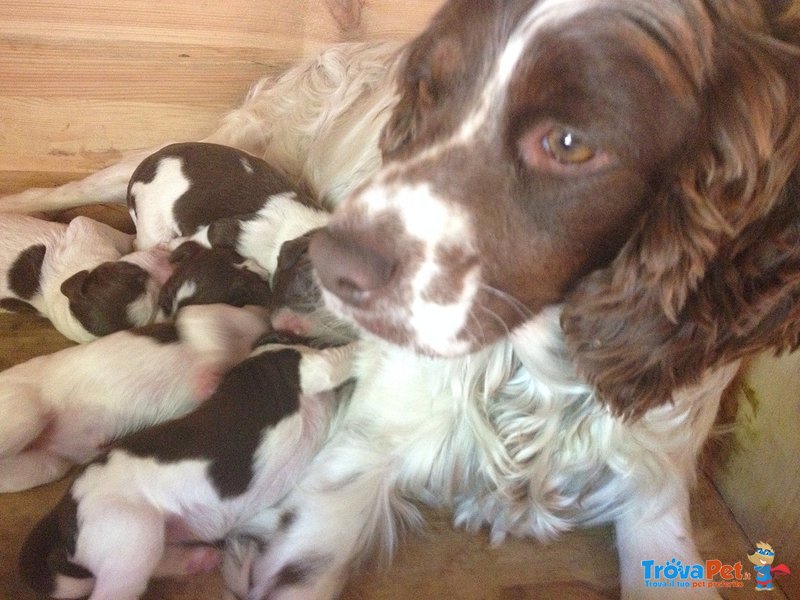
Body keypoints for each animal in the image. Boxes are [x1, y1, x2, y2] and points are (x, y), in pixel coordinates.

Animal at [18, 338, 356, 600]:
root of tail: (64, 505)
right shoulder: (312, 368)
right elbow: (346, 353)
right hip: (130, 533)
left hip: (146, 540)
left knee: (156, 564)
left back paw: (198, 559)